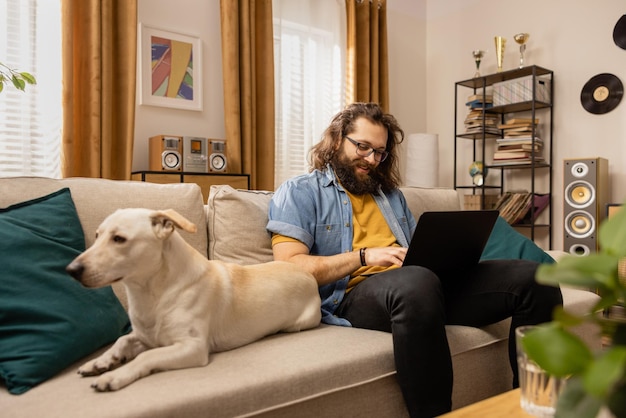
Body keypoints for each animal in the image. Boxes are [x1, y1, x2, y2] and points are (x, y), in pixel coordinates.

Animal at [67, 209, 322, 392]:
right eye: (97, 236)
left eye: (119, 239)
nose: (71, 270)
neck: (152, 293)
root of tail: (308, 275)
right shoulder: (146, 336)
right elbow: (122, 340)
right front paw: (101, 362)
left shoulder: (192, 347)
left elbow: (147, 355)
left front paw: (114, 375)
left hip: (300, 323)